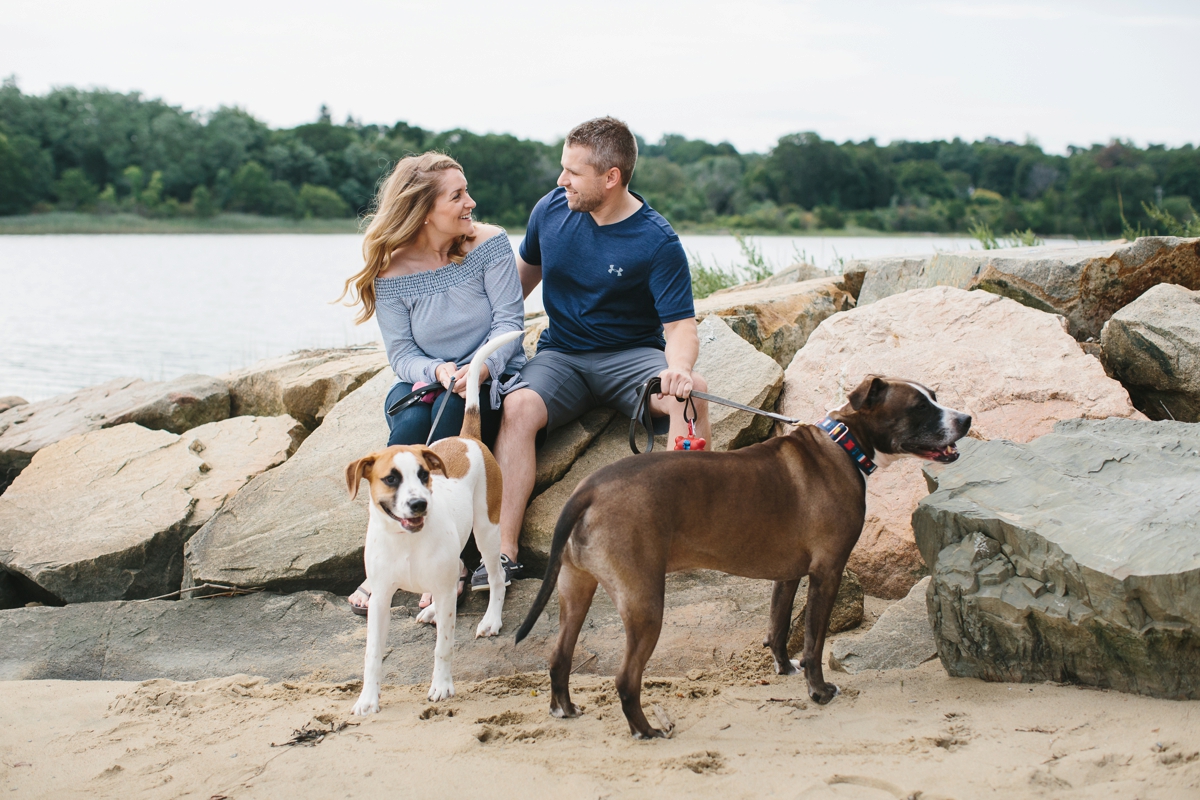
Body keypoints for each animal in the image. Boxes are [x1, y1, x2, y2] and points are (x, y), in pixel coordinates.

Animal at [345, 331, 518, 714]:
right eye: (390, 479)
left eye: (424, 475)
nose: (419, 503)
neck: (406, 541)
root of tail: (468, 437)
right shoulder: (381, 598)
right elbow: (372, 654)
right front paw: (368, 699)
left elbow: (443, 647)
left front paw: (441, 687)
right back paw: (436, 610)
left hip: (487, 530)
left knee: (496, 579)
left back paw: (491, 620)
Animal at [516, 376, 974, 738]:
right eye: (919, 407)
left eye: (934, 396)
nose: (966, 420)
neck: (844, 444)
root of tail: (588, 487)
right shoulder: (827, 572)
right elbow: (814, 641)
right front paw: (818, 691)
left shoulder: (788, 575)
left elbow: (778, 626)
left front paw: (785, 669)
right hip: (644, 603)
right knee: (626, 679)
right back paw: (646, 730)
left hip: (576, 588)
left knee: (559, 656)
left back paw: (564, 708)